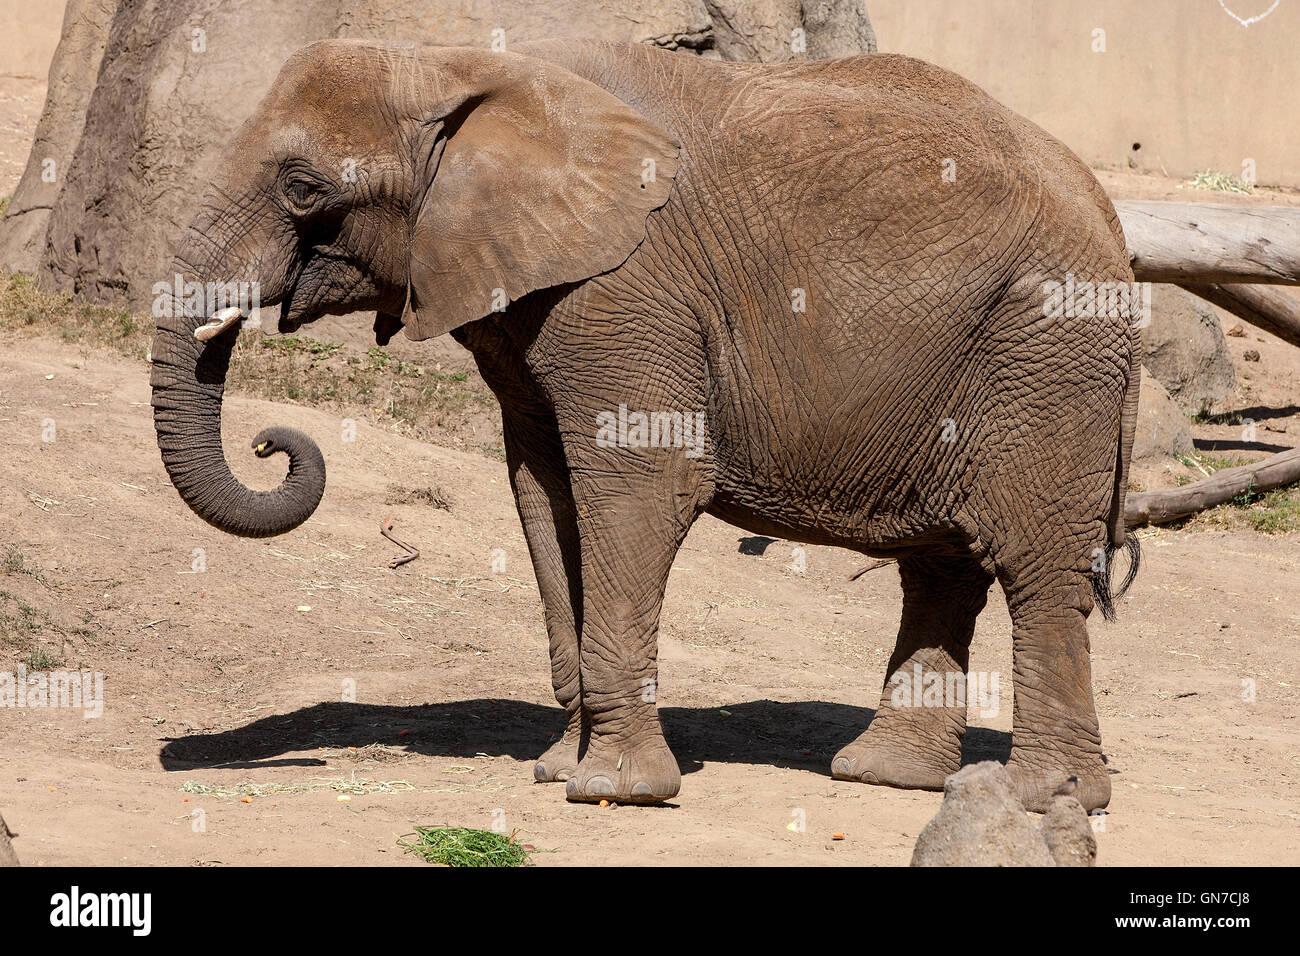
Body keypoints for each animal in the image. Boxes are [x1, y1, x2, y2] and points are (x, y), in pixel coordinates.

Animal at [149, 38, 1141, 812]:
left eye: (303, 187)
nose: (273, 443)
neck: (464, 62)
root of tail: (1111, 219)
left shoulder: (626, 289)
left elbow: (637, 485)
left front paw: (613, 791)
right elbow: (543, 494)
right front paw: (558, 771)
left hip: (1049, 351)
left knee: (1033, 560)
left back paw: (1049, 798)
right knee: (942, 564)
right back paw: (885, 777)